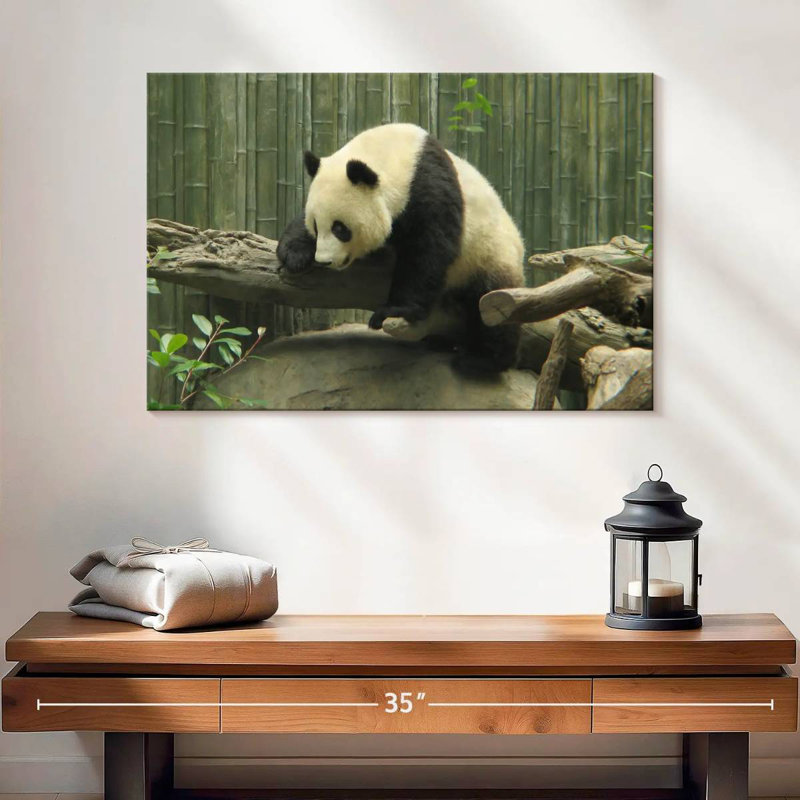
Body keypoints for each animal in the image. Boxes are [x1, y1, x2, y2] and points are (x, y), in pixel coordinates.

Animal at [277, 123, 524, 372]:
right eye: (316, 226)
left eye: (340, 228)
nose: (324, 260)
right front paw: (293, 254)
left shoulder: (430, 190)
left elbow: (428, 252)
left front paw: (396, 309)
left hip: (489, 255)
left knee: (490, 306)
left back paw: (483, 360)